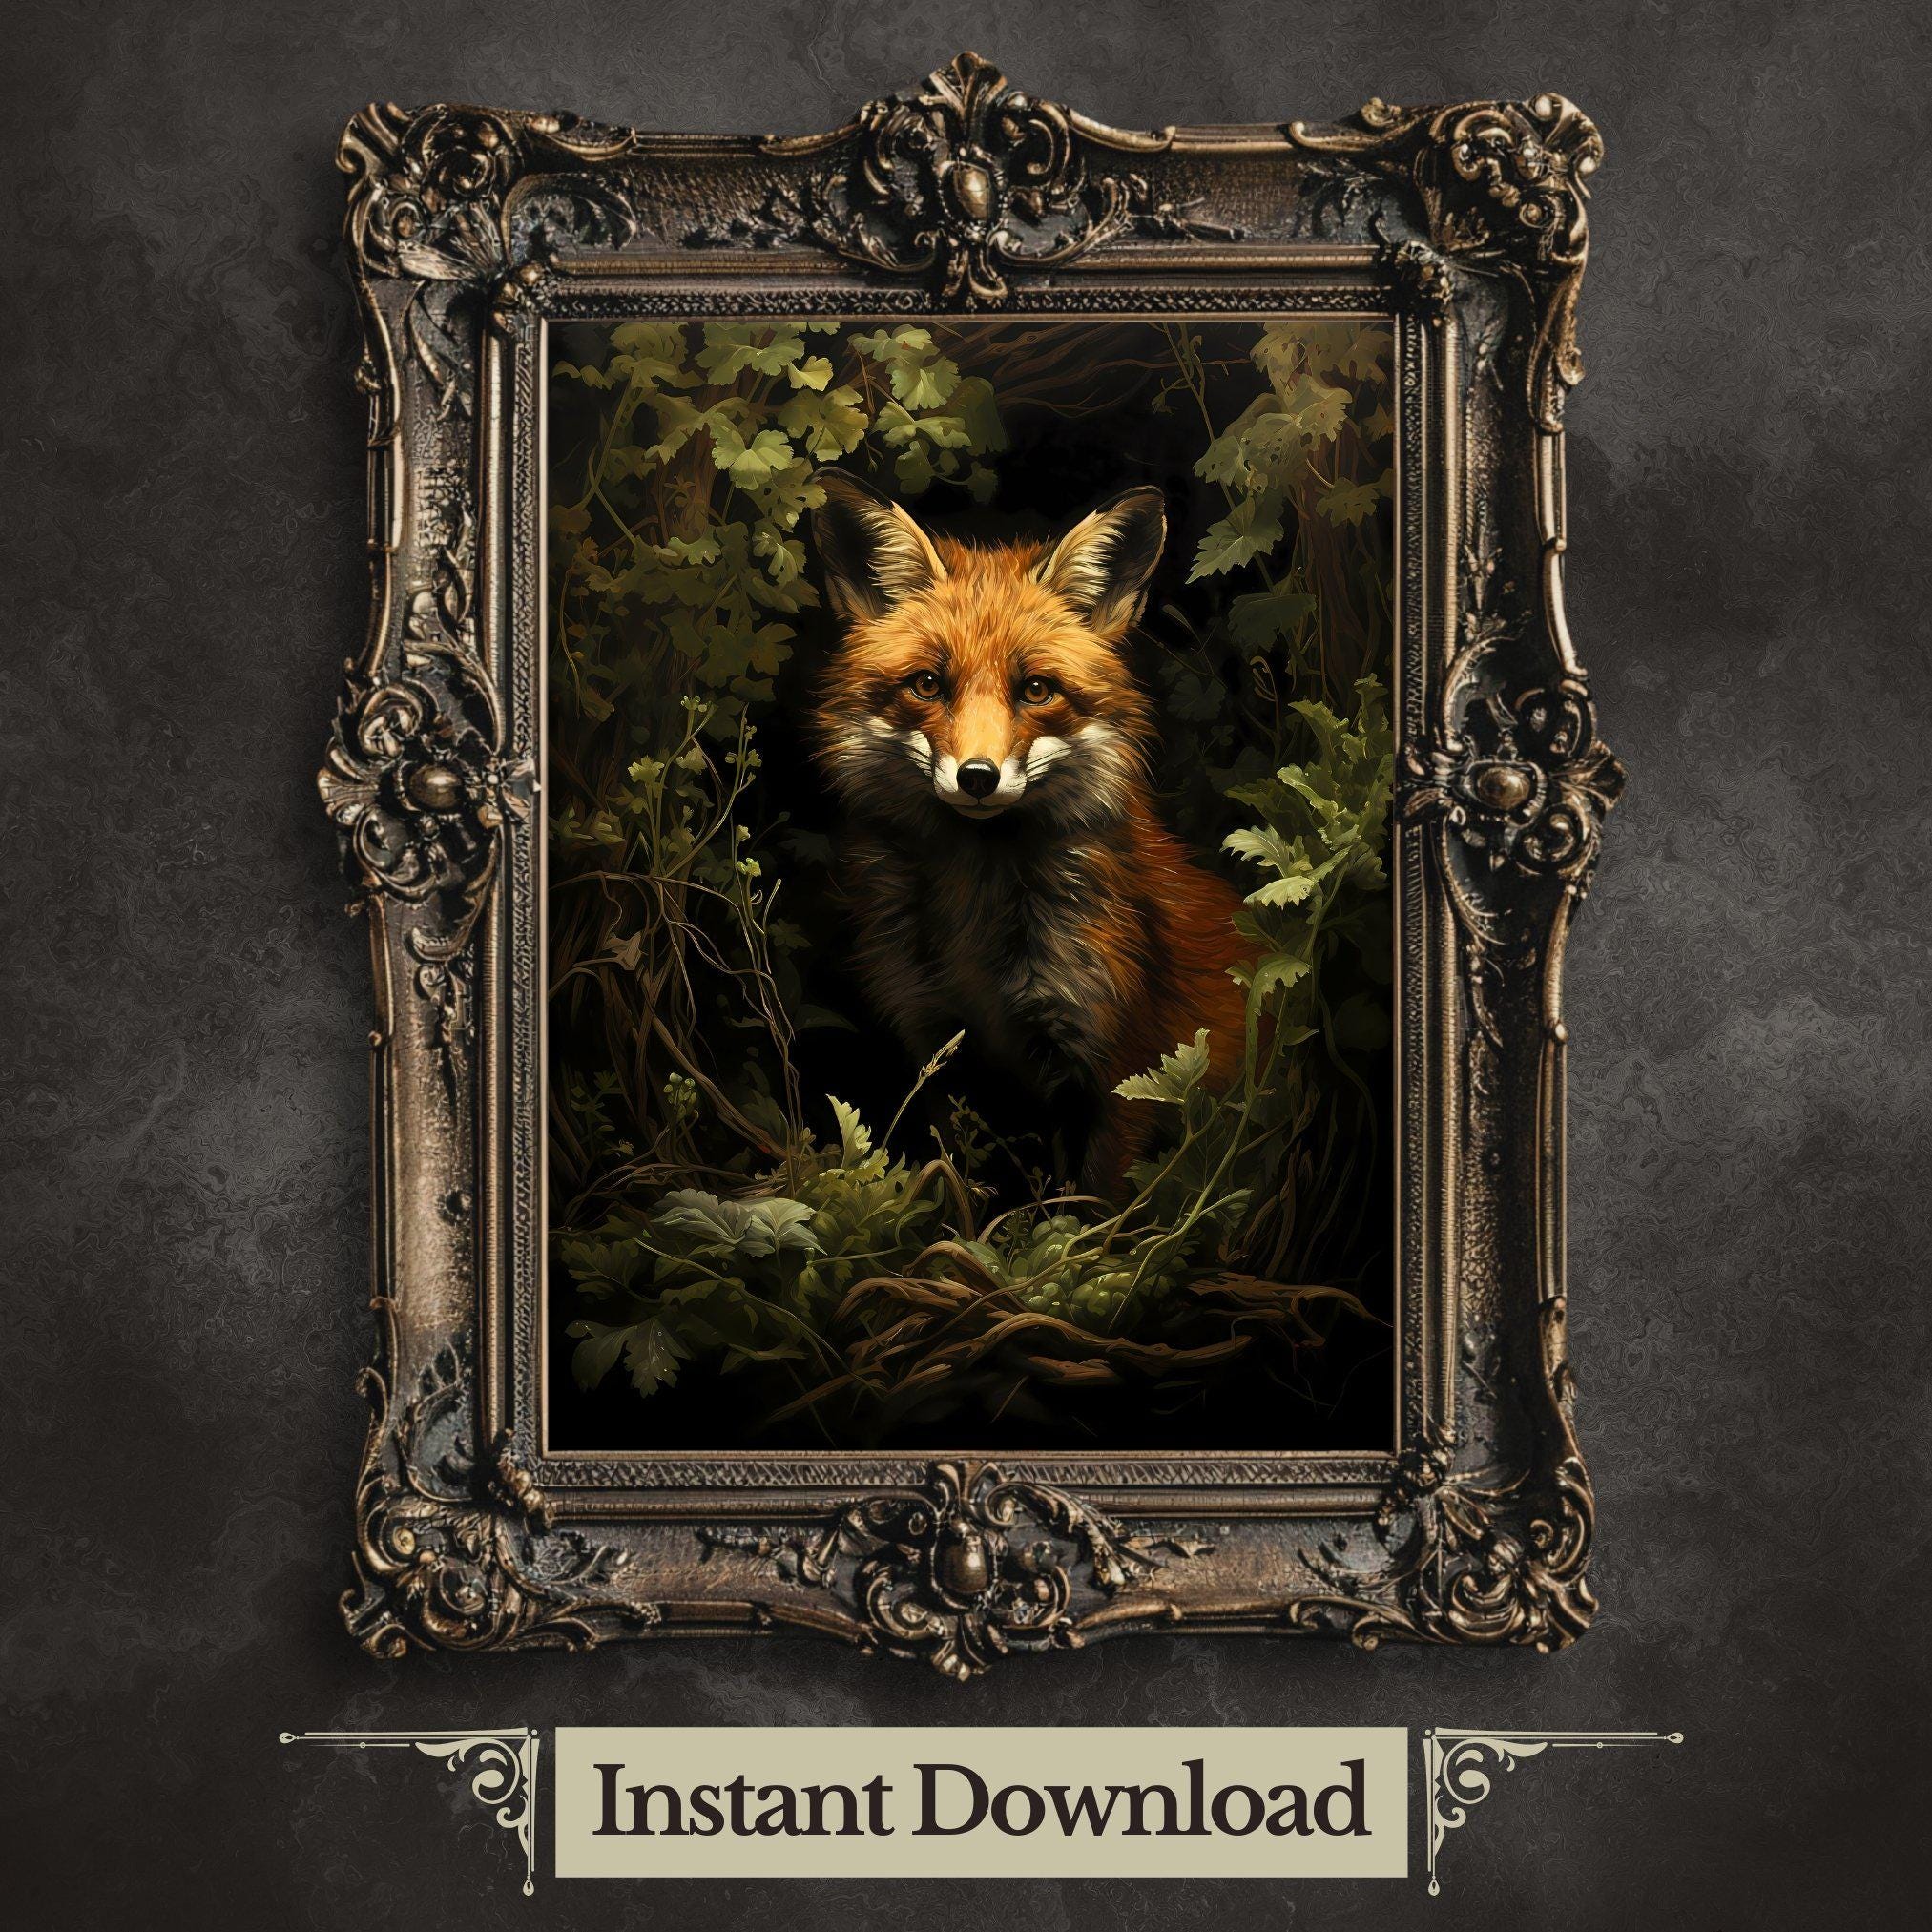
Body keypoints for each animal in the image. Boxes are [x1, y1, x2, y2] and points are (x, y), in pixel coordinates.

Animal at [807, 467, 1252, 1197]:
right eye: (928, 684)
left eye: (1037, 689)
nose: (977, 777)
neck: (976, 919)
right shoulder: (941, 1052)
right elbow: (962, 1192)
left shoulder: (1120, 1071)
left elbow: (1093, 1209)